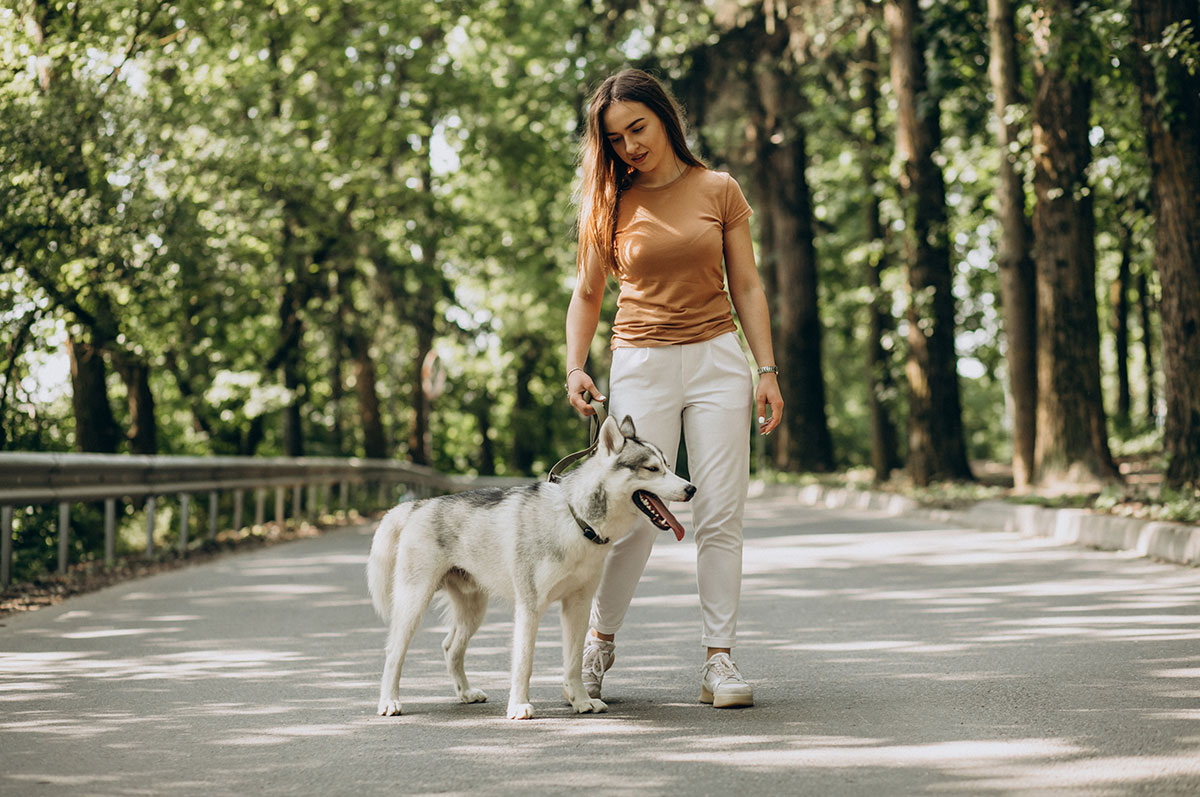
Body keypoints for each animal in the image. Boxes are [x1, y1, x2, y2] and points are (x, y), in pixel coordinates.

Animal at [364, 412, 696, 720]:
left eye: (667, 464)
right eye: (652, 468)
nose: (691, 488)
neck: (576, 521)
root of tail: (417, 505)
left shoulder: (578, 605)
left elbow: (572, 662)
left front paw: (580, 701)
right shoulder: (529, 607)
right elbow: (524, 662)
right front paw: (519, 706)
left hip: (473, 610)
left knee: (450, 647)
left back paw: (466, 693)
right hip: (414, 603)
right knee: (394, 653)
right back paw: (389, 701)